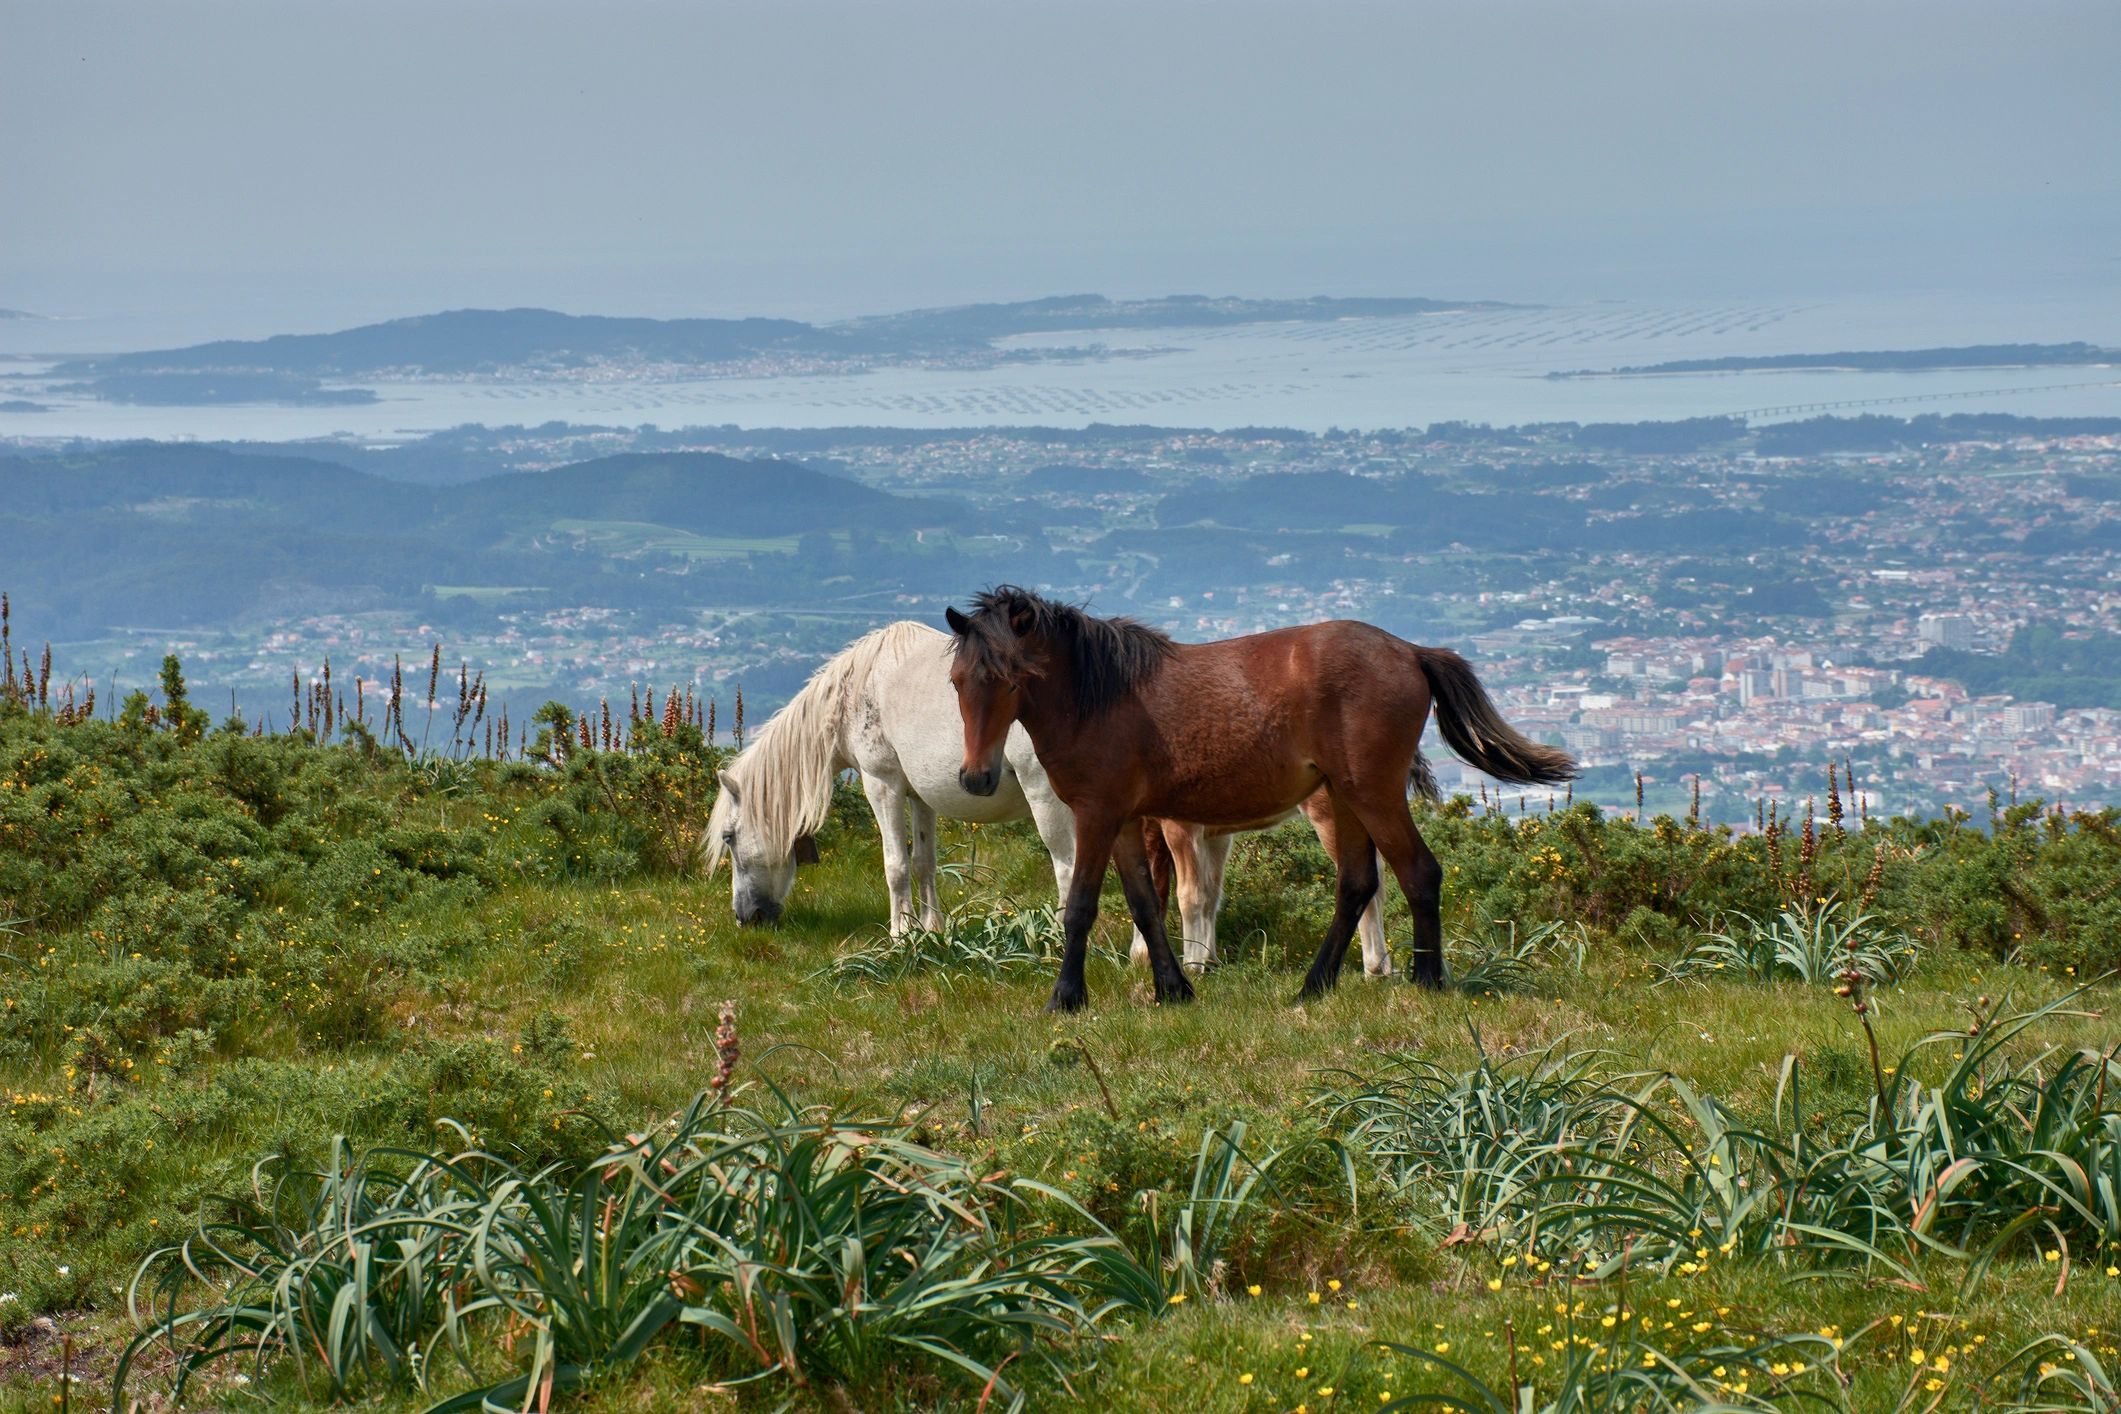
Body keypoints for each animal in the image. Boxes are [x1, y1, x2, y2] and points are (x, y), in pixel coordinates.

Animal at [703, 621, 1388, 971]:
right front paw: (930, 932)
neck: (859, 686)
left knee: (1068, 870)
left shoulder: (883, 782)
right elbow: (925, 865)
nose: (747, 918)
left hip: (1052, 803)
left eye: (732, 838)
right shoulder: (920, 795)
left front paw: (898, 939)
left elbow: (896, 866)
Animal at [944, 586, 1576, 1012]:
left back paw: (1426, 981)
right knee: (1357, 884)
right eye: (958, 680)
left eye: (1011, 677)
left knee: (1418, 871)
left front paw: (1065, 997)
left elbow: (1081, 906)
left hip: (1371, 794)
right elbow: (1145, 904)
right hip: (1343, 799)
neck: (1098, 696)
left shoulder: (1097, 816)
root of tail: (1410, 651)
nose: (976, 777)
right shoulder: (1124, 821)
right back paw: (1314, 986)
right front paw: (1173, 989)